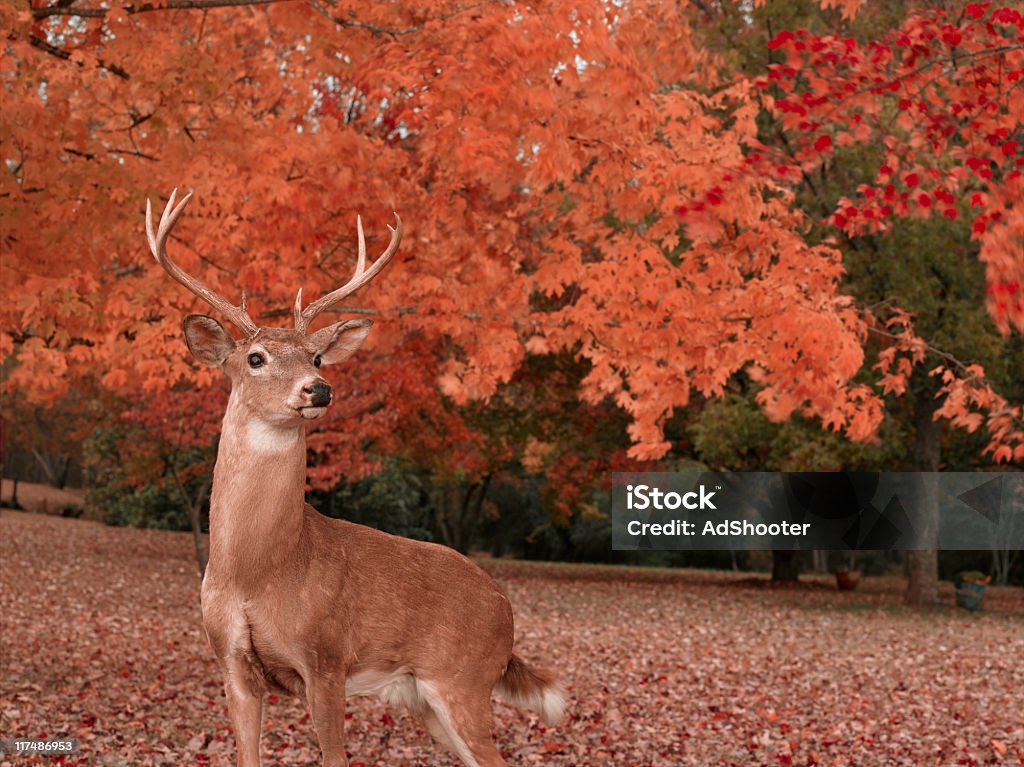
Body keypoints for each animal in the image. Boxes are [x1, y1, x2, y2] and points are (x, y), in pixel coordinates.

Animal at [145, 190, 565, 765]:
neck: (258, 572)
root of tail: (507, 613)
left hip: (464, 678)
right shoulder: (231, 663)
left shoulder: (326, 658)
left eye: (318, 356)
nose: (318, 389)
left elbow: (334, 756)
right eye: (254, 357)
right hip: (423, 698)